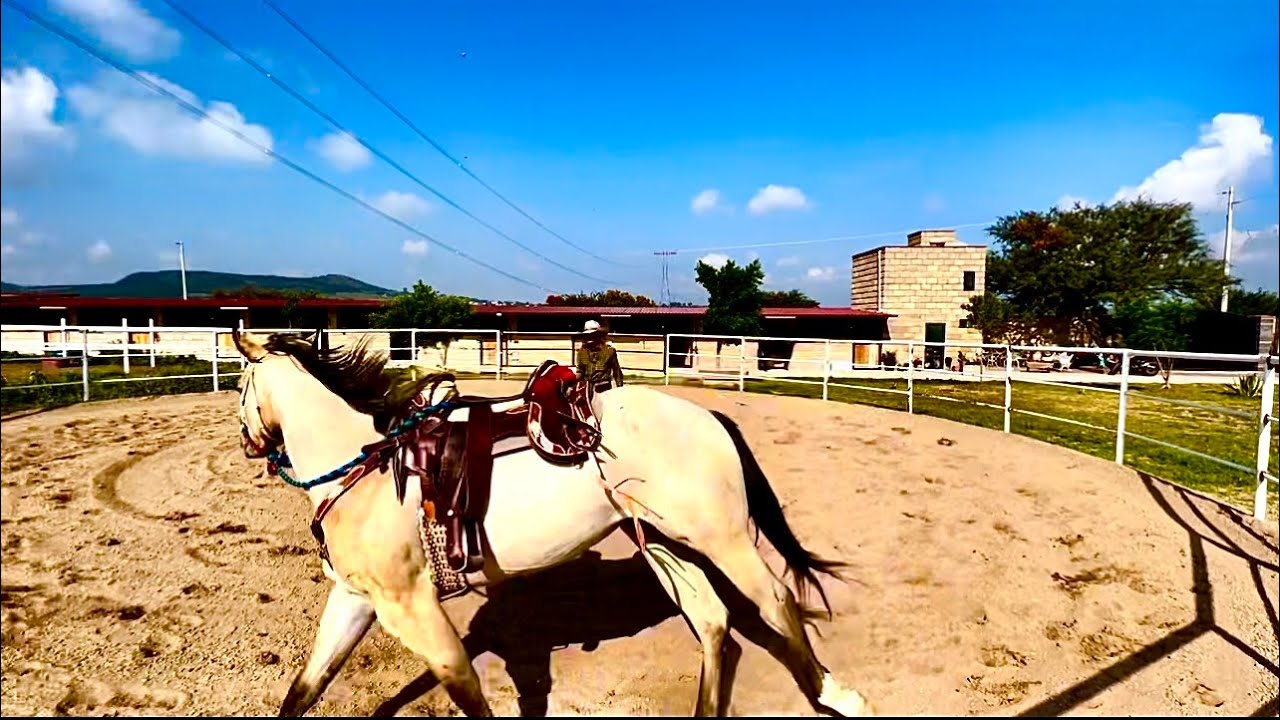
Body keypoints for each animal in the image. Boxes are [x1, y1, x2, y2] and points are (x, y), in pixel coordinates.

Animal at [229, 329, 873, 717]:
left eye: (239, 387)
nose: (248, 441)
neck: (364, 468)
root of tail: (709, 418)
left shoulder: (409, 605)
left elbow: (462, 683)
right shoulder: (356, 599)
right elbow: (306, 687)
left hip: (723, 539)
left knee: (776, 602)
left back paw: (839, 694)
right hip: (666, 544)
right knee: (713, 621)